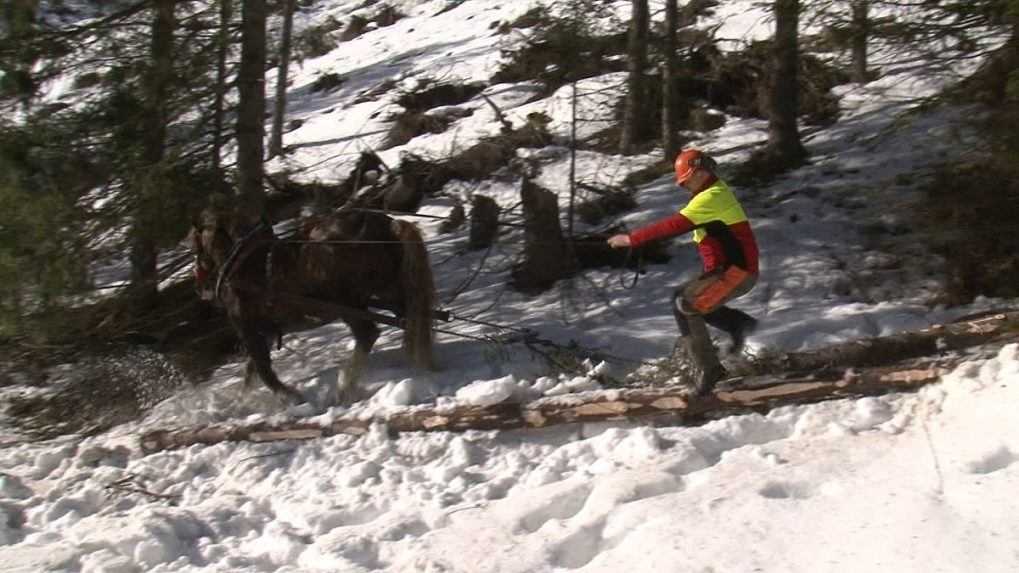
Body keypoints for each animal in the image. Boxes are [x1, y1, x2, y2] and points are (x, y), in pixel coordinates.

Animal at [189, 205, 436, 401]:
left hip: (348, 303)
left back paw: (345, 386)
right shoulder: (265, 331)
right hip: (389, 293)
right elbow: (251, 370)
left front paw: (289, 397)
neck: (243, 264)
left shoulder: (248, 330)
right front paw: (241, 402)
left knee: (368, 334)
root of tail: (390, 225)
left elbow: (262, 369)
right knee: (411, 320)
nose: (199, 286)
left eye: (197, 246)